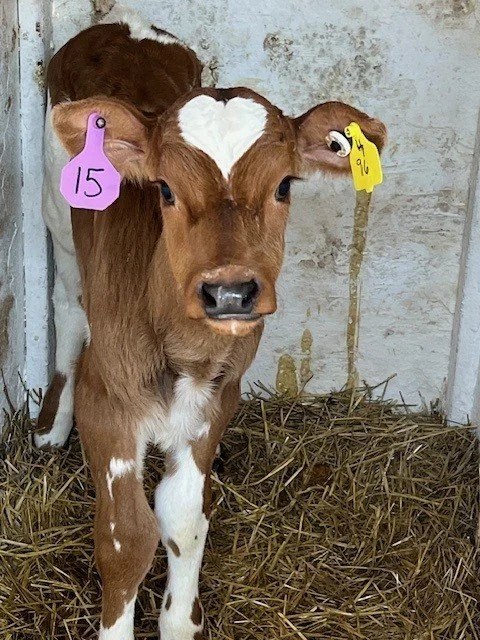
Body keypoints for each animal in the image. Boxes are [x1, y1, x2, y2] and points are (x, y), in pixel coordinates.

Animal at [35, 7, 386, 640]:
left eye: (285, 185)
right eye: (165, 189)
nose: (229, 291)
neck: (180, 352)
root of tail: (119, 23)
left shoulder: (218, 399)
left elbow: (182, 520)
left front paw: (180, 621)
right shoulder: (108, 405)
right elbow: (126, 537)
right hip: (60, 222)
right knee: (68, 307)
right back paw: (52, 425)